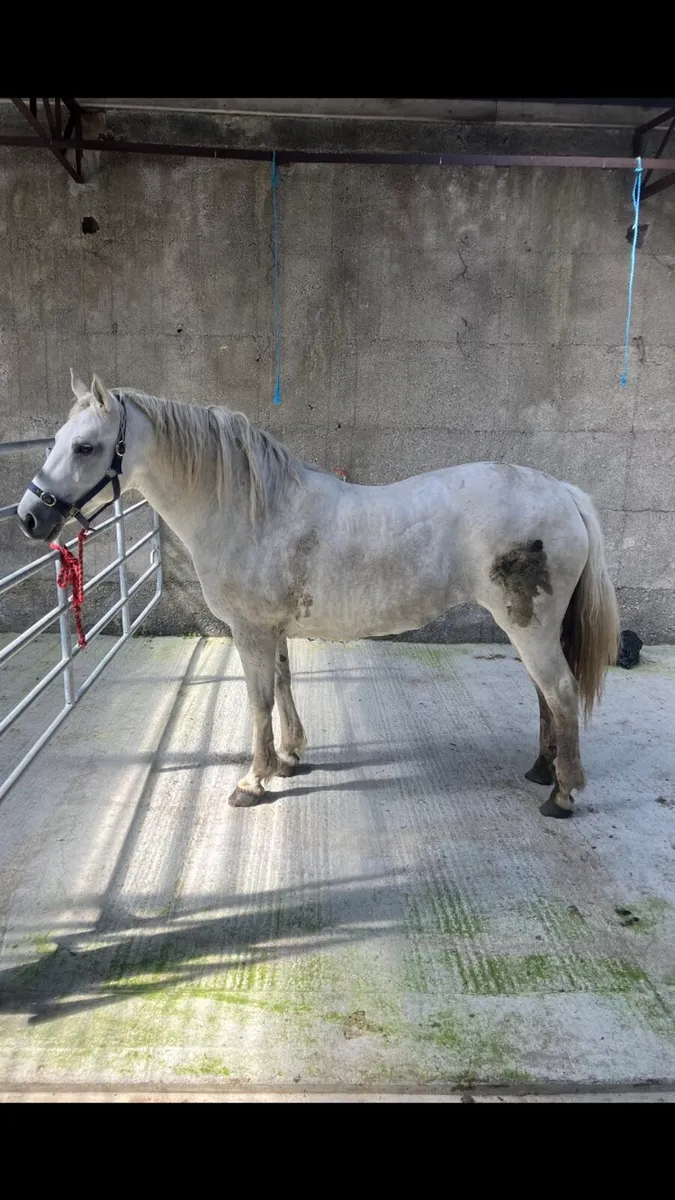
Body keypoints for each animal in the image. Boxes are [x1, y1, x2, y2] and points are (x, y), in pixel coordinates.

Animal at [17, 372, 620, 819]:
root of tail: (563, 492)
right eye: (57, 441)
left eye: (85, 446)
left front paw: (253, 782)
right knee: (545, 695)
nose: (29, 518)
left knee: (560, 692)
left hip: (528, 627)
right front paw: (289, 758)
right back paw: (541, 769)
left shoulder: (250, 632)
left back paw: (562, 793)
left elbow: (258, 700)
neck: (251, 513)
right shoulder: (273, 631)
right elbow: (284, 686)